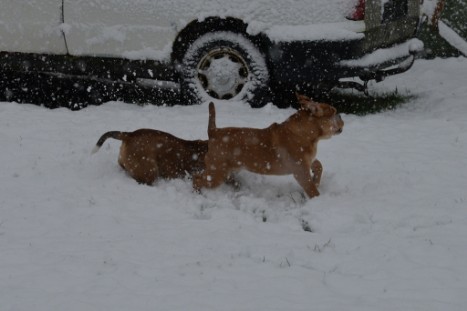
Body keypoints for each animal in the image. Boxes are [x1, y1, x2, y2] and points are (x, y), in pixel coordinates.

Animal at [194, 94, 344, 199]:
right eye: (334, 112)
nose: (341, 116)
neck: (306, 134)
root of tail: (214, 132)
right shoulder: (301, 170)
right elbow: (312, 190)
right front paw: (318, 200)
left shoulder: (308, 162)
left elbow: (319, 166)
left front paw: (316, 180)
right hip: (216, 173)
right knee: (197, 179)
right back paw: (198, 193)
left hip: (225, 169)